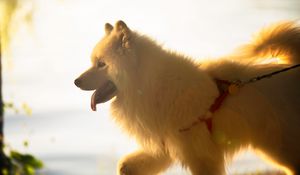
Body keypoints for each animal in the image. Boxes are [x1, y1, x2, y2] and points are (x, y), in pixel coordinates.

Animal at [74, 20, 300, 175]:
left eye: (101, 64)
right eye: (93, 62)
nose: (75, 81)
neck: (150, 86)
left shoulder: (200, 156)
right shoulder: (166, 146)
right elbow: (126, 165)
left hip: (282, 148)